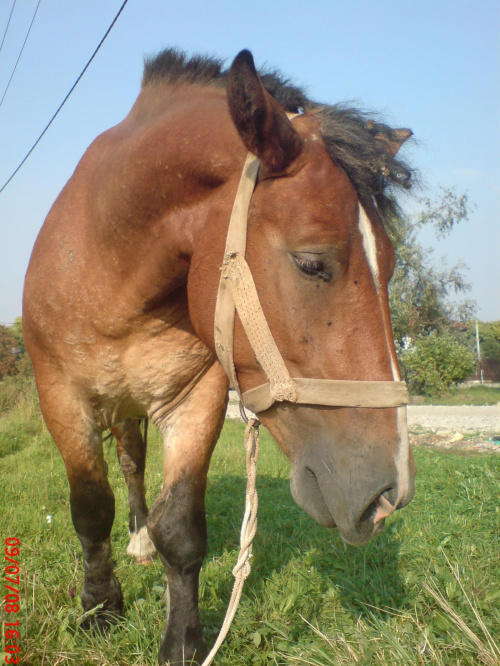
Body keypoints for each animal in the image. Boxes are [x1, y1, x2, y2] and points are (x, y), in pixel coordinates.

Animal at [21, 49, 416, 660]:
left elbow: (181, 527)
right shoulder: (62, 398)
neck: (109, 262)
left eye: (392, 267)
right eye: (311, 262)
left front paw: (183, 640)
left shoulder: (195, 398)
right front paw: (99, 608)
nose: (389, 494)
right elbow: (90, 510)